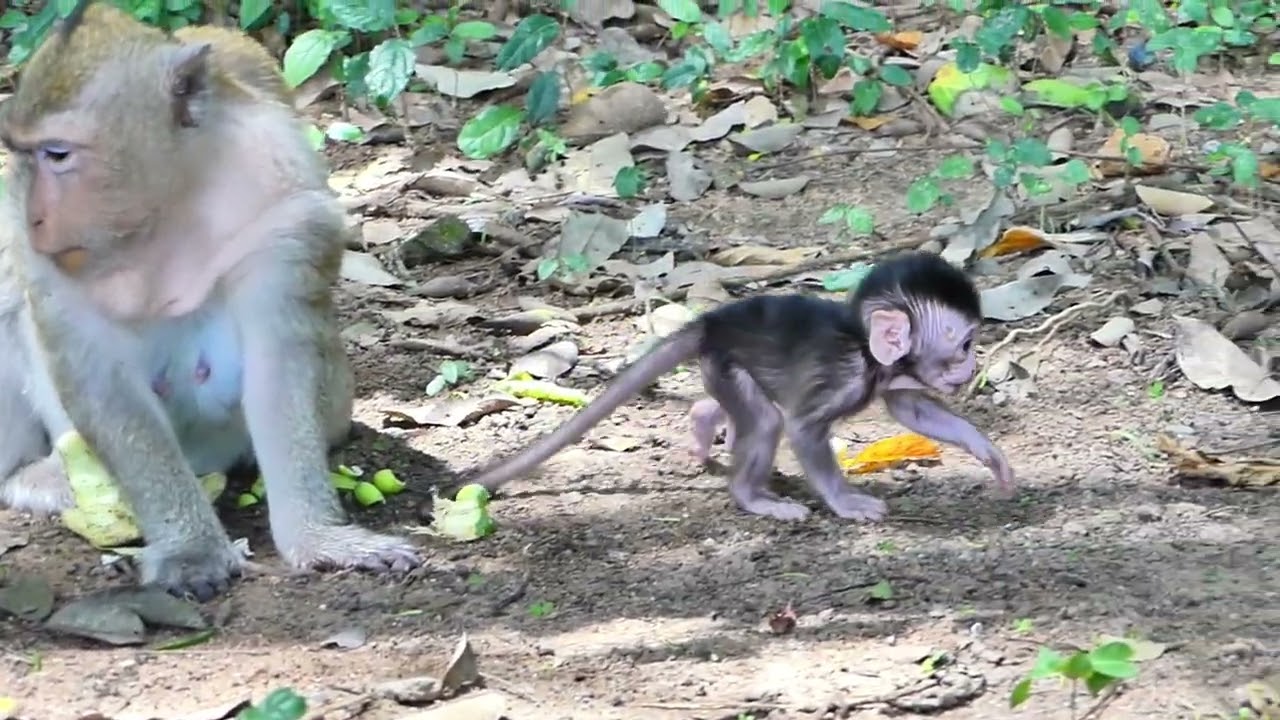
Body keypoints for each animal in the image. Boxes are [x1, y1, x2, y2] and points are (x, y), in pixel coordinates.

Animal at [0, 1, 421, 600]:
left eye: (57, 154)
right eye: (23, 155)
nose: (36, 217)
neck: (164, 208)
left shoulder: (282, 209)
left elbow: (278, 366)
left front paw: (318, 538)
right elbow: (101, 378)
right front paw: (190, 548)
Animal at [465, 251, 1014, 522]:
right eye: (965, 344)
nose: (971, 366)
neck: (864, 348)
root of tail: (713, 322)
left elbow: (912, 413)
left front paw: (989, 453)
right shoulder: (843, 376)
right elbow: (803, 428)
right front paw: (846, 503)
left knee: (732, 409)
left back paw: (704, 425)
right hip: (725, 362)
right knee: (768, 420)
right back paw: (752, 497)